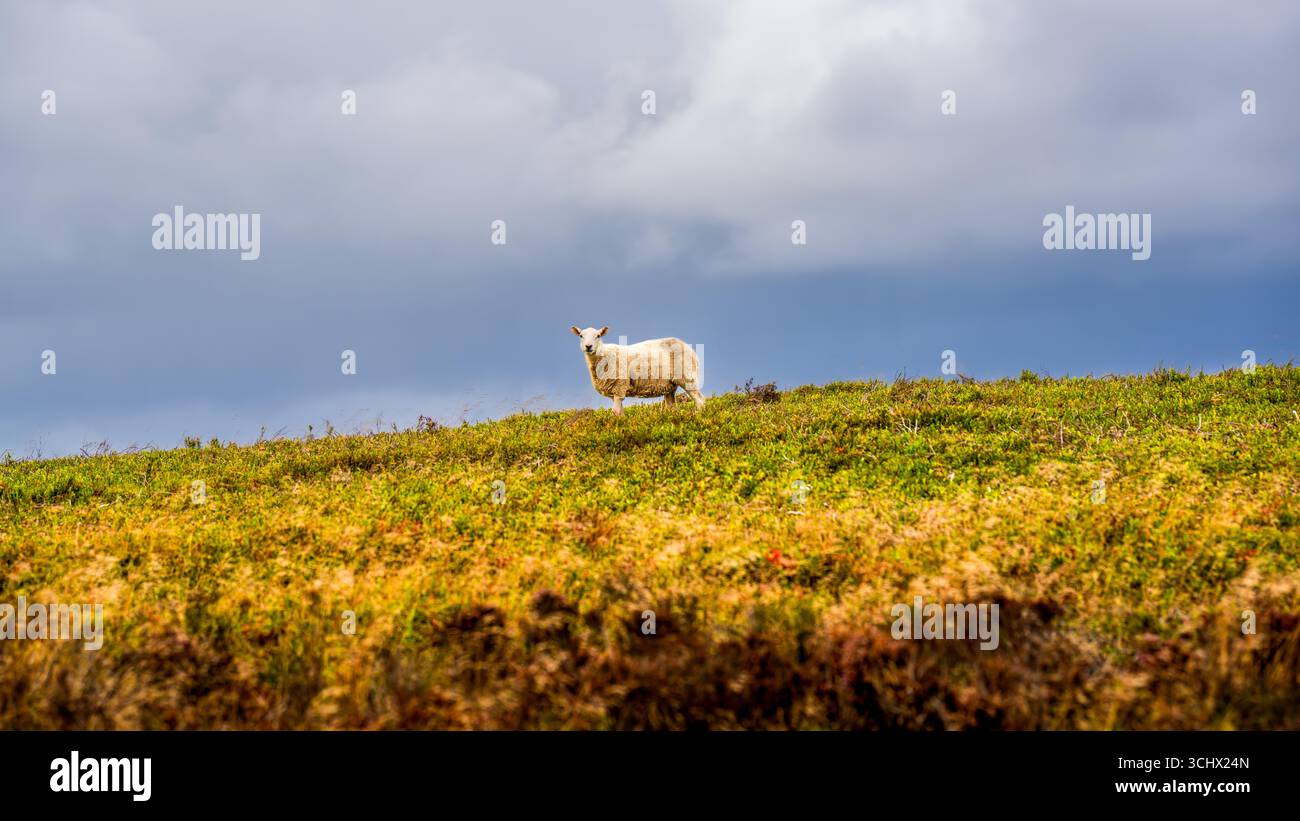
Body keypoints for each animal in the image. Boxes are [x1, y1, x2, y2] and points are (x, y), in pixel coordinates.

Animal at [570, 326, 705, 416]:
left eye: (598, 336)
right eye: (581, 336)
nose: (588, 346)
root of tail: (690, 348)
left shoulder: (619, 387)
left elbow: (615, 412)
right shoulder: (615, 392)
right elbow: (620, 413)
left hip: (687, 376)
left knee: (700, 400)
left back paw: (699, 417)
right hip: (669, 385)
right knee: (672, 406)